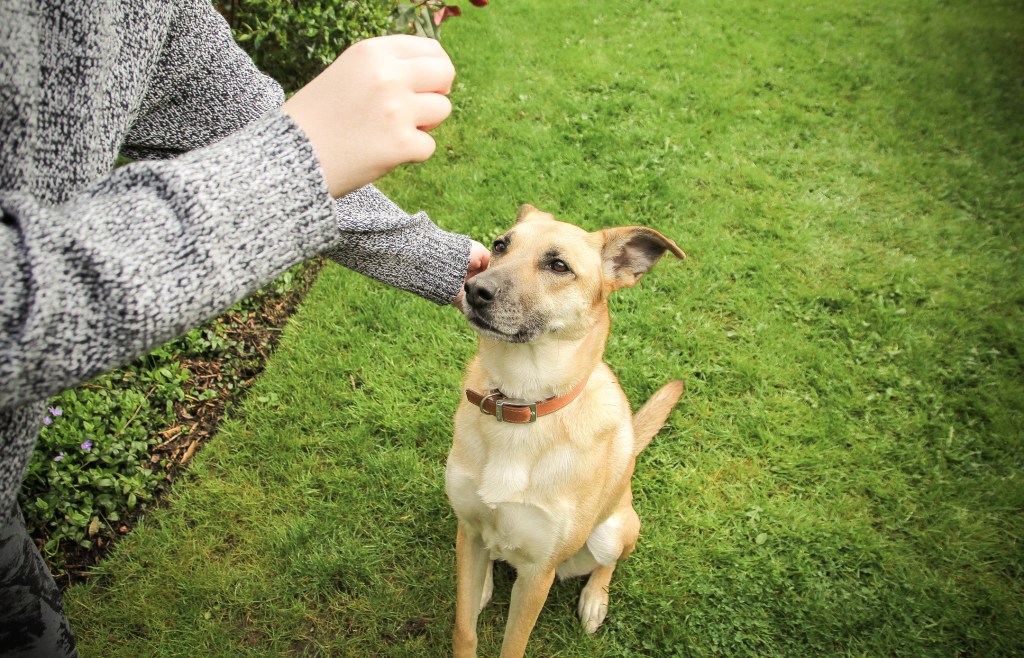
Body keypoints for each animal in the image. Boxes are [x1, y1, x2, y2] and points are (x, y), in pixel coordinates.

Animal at [444, 205, 684, 658]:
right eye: (500, 245)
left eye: (558, 266)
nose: (474, 289)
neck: (519, 405)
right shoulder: (468, 527)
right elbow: (464, 631)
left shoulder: (538, 572)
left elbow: (513, 646)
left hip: (612, 532)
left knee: (607, 563)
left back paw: (594, 600)